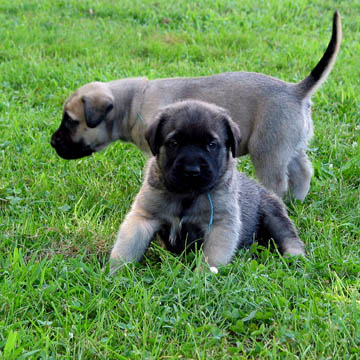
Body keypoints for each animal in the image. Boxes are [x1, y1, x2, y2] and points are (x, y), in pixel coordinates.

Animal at [50, 11, 340, 201]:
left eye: (71, 121)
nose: (52, 142)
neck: (133, 103)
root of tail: (296, 91)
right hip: (291, 147)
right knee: (303, 172)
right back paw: (297, 202)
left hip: (267, 151)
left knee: (277, 183)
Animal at [109, 100, 304, 272]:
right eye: (174, 143)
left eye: (211, 145)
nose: (192, 170)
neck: (186, 196)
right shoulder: (143, 218)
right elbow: (126, 248)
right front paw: (116, 275)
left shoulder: (220, 225)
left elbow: (212, 258)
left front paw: (202, 278)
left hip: (273, 215)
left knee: (289, 237)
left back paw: (295, 257)